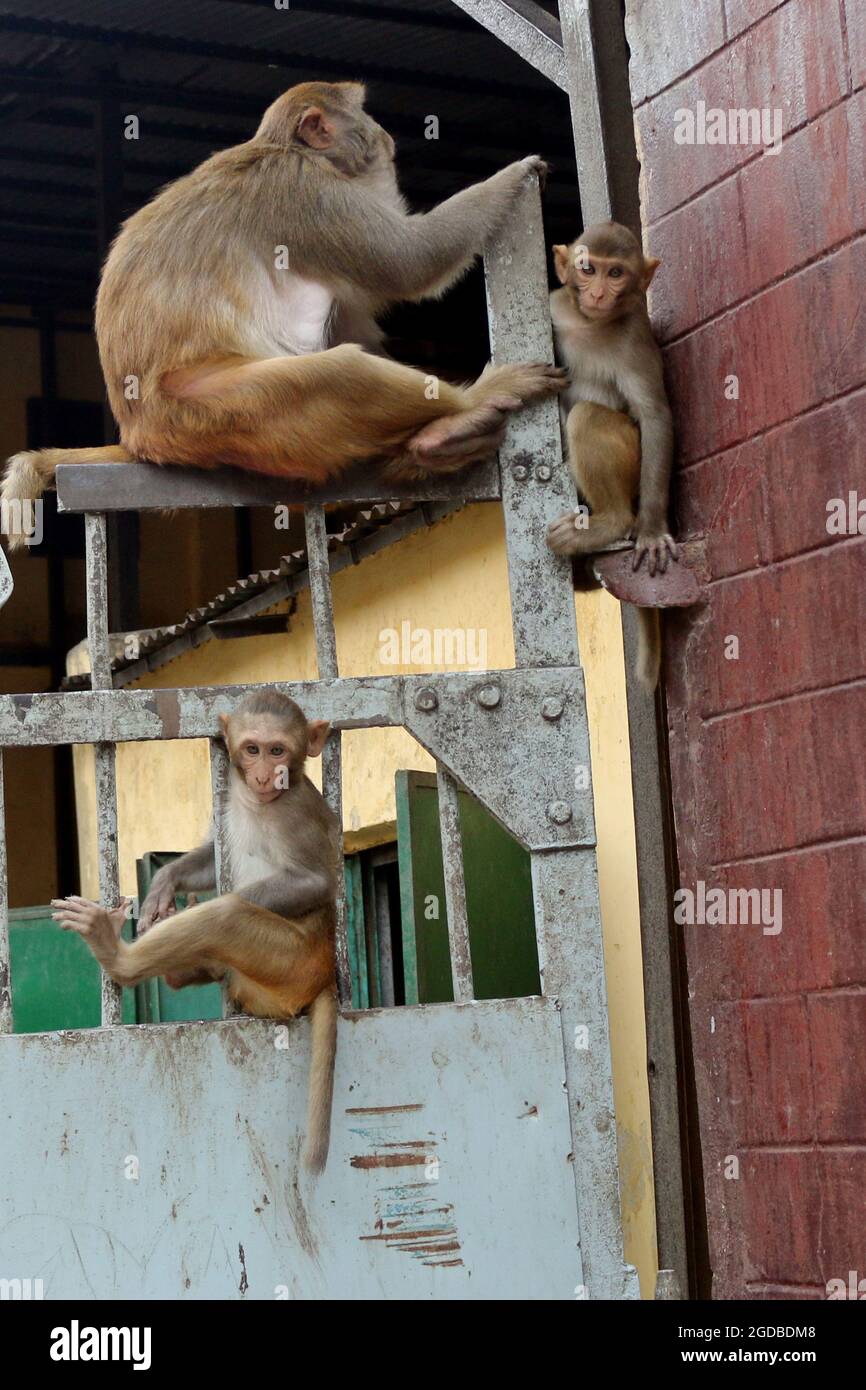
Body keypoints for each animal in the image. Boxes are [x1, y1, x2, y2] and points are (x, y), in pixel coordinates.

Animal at [1, 78, 569, 547]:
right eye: (363, 111)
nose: (385, 133)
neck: (280, 147)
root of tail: (141, 436)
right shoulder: (308, 192)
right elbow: (410, 261)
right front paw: (516, 173)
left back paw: (430, 448)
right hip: (216, 411)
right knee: (341, 371)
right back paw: (468, 406)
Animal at [50, 692, 341, 1173]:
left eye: (278, 750)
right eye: (252, 749)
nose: (265, 774)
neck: (259, 802)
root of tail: (326, 975)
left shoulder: (296, 813)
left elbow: (316, 884)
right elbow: (207, 856)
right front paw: (164, 884)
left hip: (290, 960)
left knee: (226, 918)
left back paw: (117, 954)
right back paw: (180, 968)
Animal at [547, 221, 678, 689]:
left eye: (616, 273)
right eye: (588, 269)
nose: (600, 292)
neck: (591, 324)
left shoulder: (636, 332)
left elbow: (654, 414)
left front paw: (653, 531)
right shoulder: (556, 309)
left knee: (586, 416)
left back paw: (613, 523)